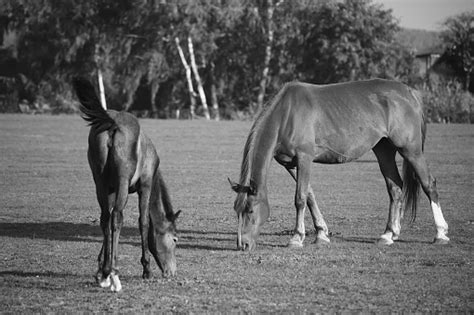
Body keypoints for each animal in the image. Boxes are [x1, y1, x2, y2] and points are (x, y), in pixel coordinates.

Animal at [73, 78, 181, 292]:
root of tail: (112, 123)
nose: (171, 271)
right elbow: (143, 222)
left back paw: (107, 271)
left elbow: (107, 223)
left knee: (106, 218)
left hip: (99, 181)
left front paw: (101, 266)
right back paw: (113, 271)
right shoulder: (145, 186)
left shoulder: (110, 188)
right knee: (116, 217)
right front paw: (146, 268)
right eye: (174, 239)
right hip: (123, 181)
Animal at [230, 78, 448, 252]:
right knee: (395, 188)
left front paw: (297, 238)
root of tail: (408, 92)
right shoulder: (290, 164)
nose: (243, 245)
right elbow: (310, 196)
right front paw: (321, 234)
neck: (286, 115)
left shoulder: (304, 158)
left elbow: (300, 198)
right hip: (384, 151)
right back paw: (389, 234)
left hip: (411, 150)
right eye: (237, 211)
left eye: (250, 210)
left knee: (428, 184)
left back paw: (440, 233)